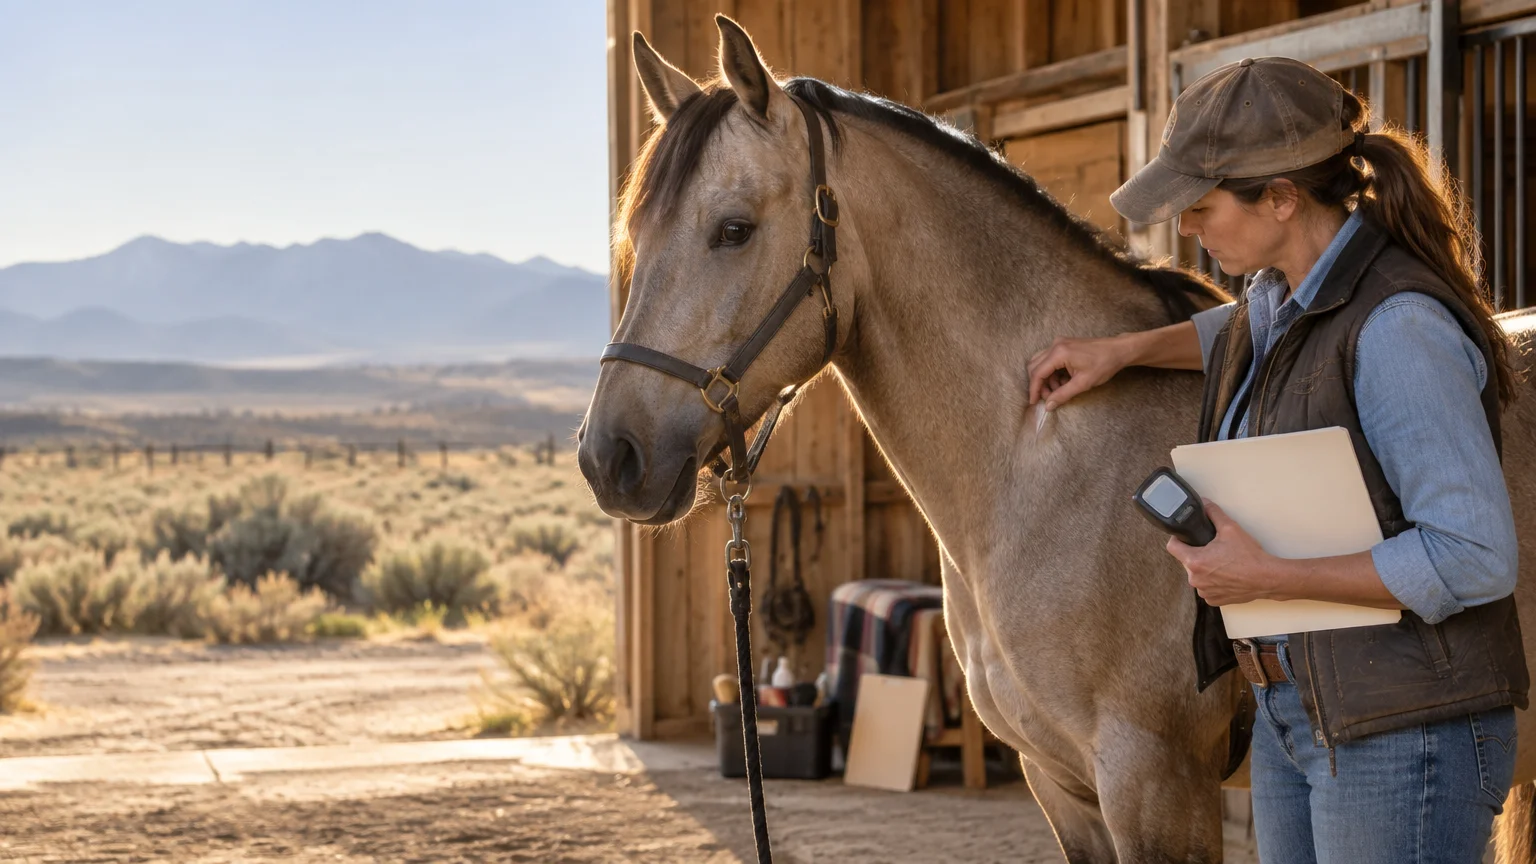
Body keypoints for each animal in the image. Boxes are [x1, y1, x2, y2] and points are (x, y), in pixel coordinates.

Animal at [576, 15, 1536, 862]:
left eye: (733, 229)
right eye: (635, 234)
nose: (609, 458)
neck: (1049, 464)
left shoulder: (1155, 785)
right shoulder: (1060, 785)